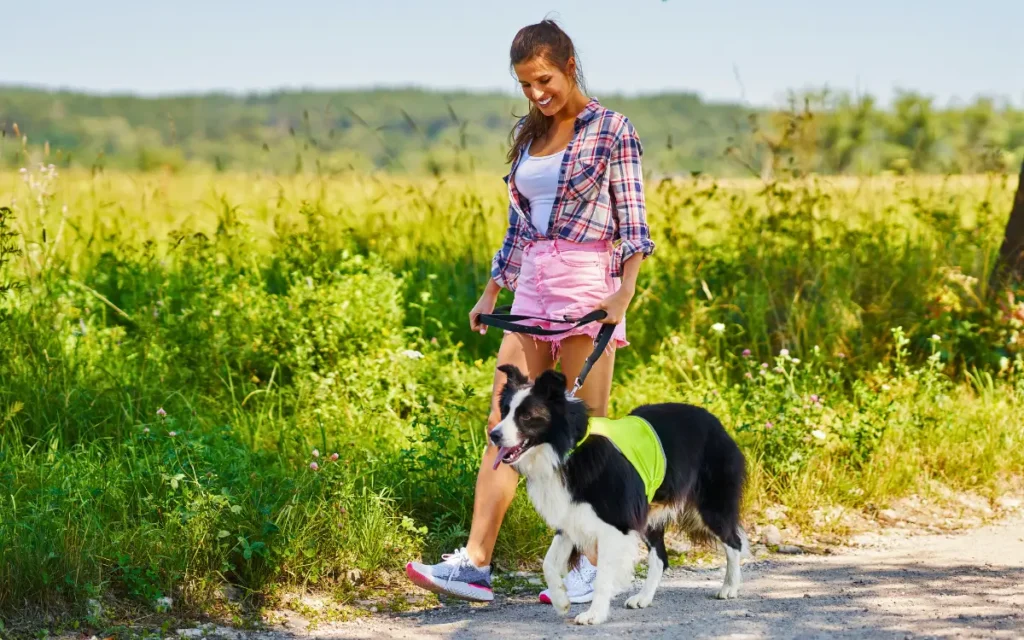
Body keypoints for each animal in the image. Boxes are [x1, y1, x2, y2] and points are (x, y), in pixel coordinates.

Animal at [487, 364, 745, 622]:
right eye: (504, 411)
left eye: (526, 416)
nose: (494, 435)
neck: (569, 448)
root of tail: (716, 422)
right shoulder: (570, 516)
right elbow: (548, 564)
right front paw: (561, 601)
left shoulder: (616, 524)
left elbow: (602, 576)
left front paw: (594, 614)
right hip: (648, 513)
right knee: (661, 558)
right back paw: (643, 598)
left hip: (711, 506)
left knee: (734, 542)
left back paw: (730, 587)